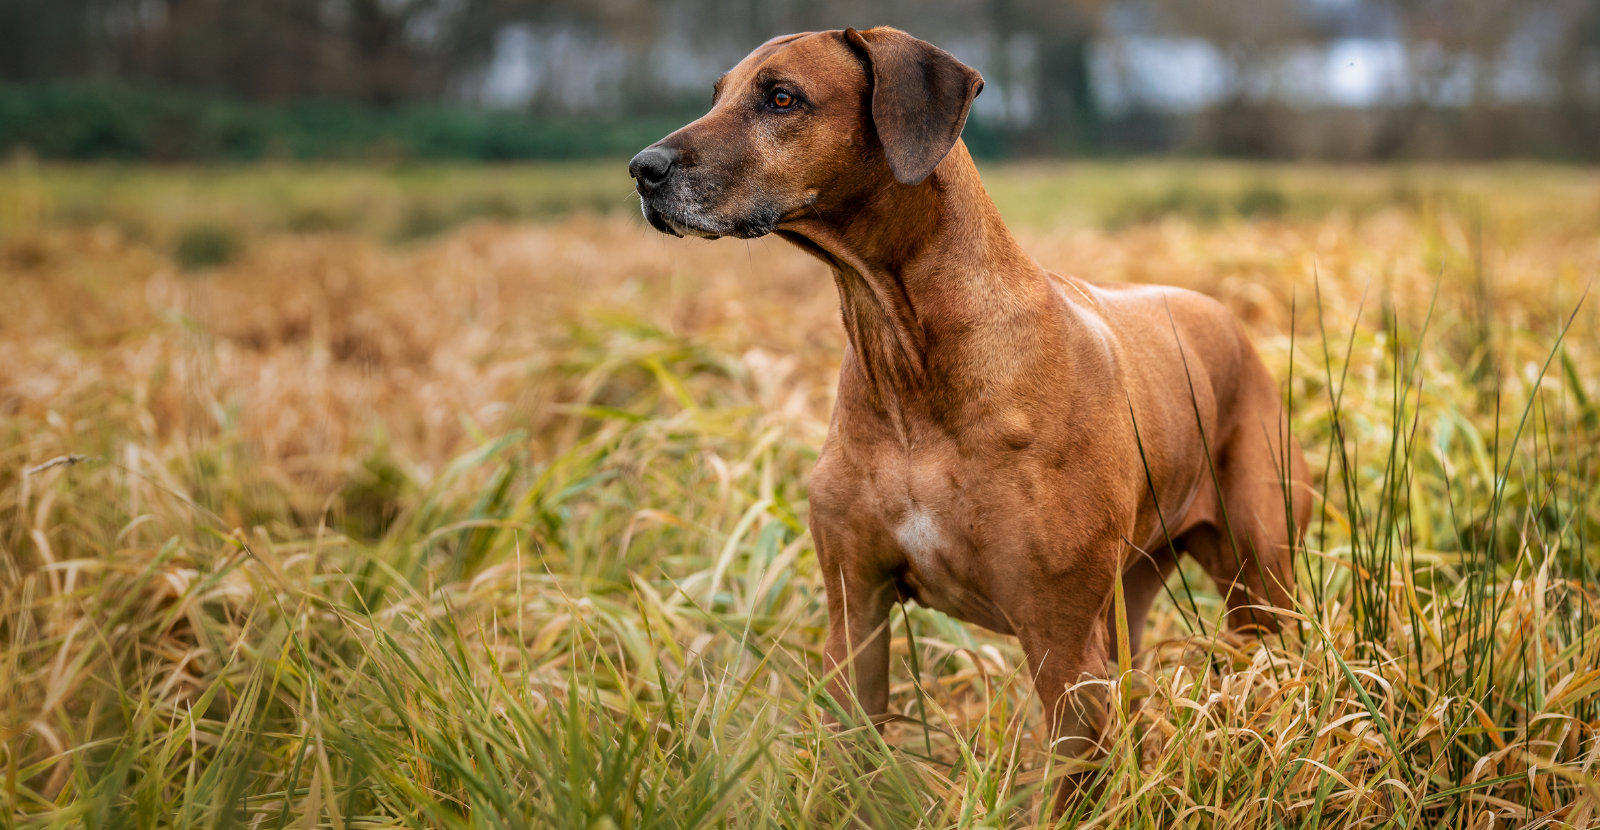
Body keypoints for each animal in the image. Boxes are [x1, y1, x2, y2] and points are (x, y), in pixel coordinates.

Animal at [627, 22, 1312, 806]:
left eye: (781, 98)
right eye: (717, 94)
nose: (642, 168)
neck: (908, 363)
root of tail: (1230, 320)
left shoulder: (1060, 640)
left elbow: (1069, 780)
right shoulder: (854, 610)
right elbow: (851, 752)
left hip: (1258, 586)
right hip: (1129, 601)